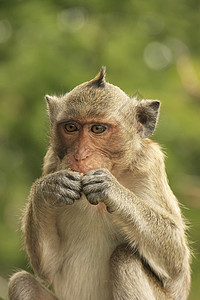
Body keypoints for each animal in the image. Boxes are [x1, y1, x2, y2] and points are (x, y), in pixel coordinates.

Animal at [8, 68, 191, 300]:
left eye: (97, 129)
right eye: (71, 127)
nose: (80, 155)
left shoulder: (150, 164)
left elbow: (177, 270)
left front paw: (109, 189)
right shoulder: (52, 161)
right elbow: (47, 267)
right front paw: (48, 188)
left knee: (125, 258)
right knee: (21, 282)